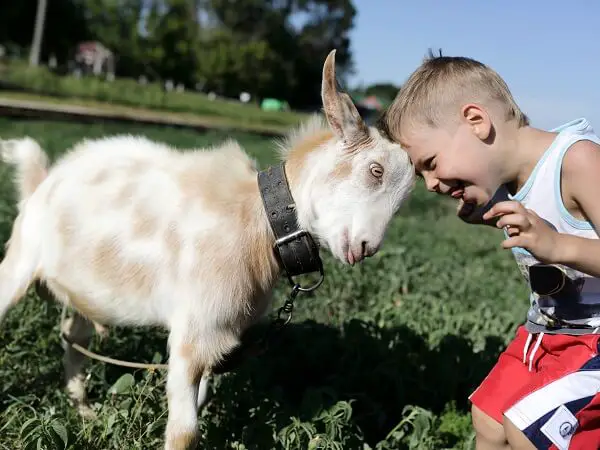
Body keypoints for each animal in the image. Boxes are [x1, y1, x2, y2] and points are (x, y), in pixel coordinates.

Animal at [0, 51, 414, 448]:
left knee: (74, 338)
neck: (256, 220)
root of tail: (43, 182)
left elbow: (201, 399)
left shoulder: (213, 339)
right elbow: (185, 432)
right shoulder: (193, 332)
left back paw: (84, 410)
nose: (366, 247)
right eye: (375, 170)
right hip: (20, 260)